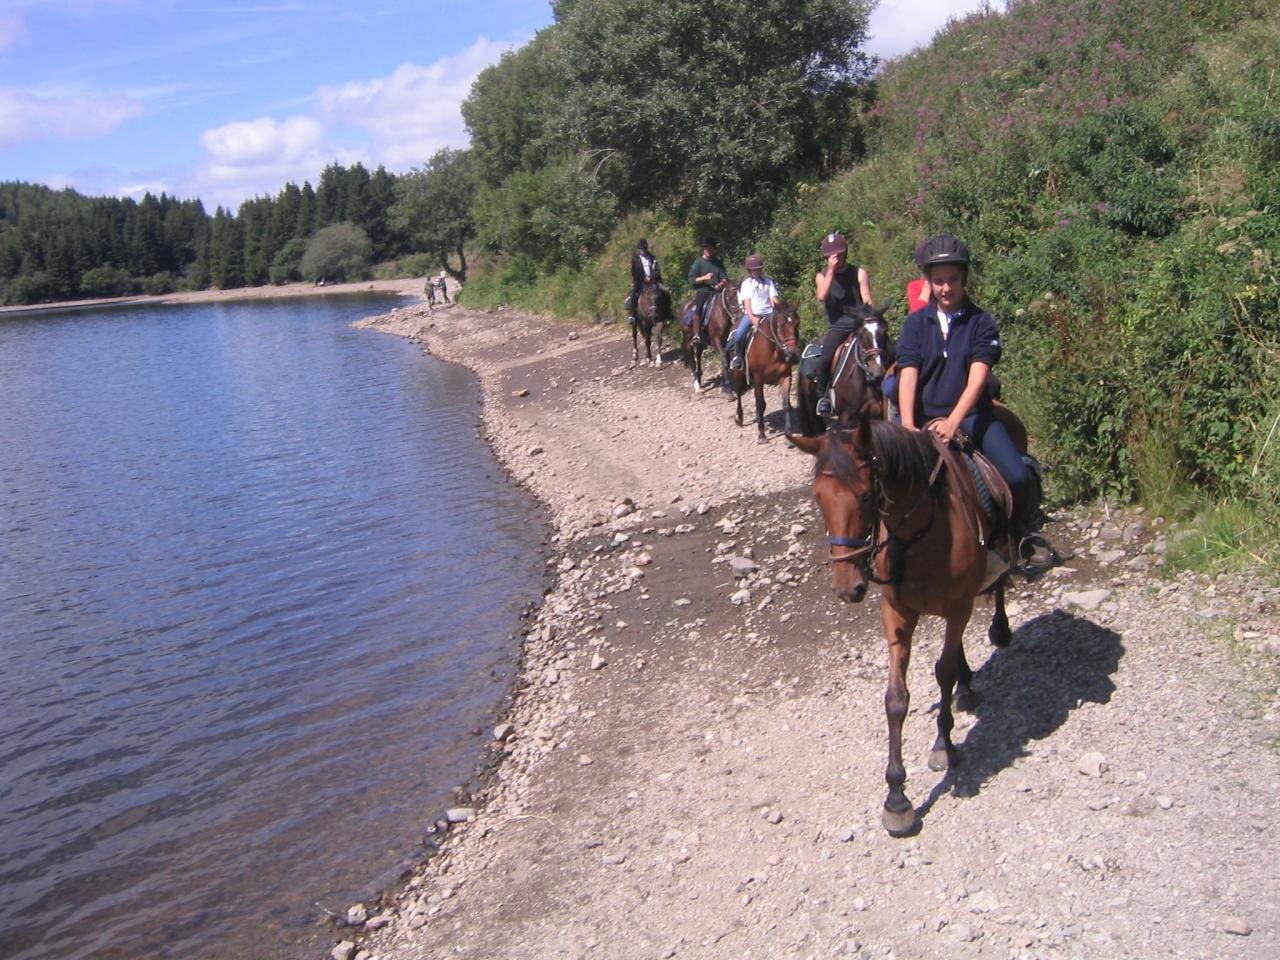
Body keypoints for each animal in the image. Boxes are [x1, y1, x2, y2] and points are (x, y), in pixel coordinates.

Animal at [727, 302, 793, 442]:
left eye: (797, 323)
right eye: (781, 325)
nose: (792, 353)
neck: (773, 350)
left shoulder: (785, 376)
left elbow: (785, 404)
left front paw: (789, 435)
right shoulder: (758, 378)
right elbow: (760, 404)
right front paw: (762, 434)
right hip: (738, 374)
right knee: (739, 393)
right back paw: (739, 418)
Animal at [788, 417, 1018, 839]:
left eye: (865, 495)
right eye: (818, 498)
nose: (847, 587)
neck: (922, 535)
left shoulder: (958, 605)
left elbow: (942, 673)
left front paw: (944, 745)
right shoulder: (896, 612)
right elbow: (896, 699)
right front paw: (897, 799)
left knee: (1000, 579)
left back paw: (1000, 630)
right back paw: (967, 686)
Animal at [793, 304, 896, 435]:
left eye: (884, 331)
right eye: (860, 334)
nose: (877, 372)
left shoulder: (878, 414)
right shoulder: (847, 418)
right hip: (810, 404)